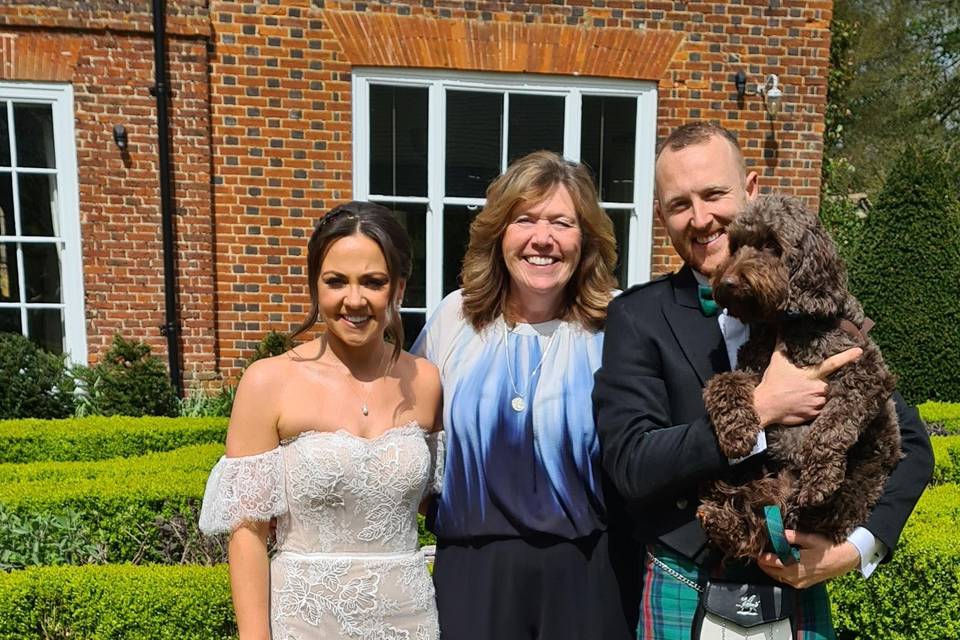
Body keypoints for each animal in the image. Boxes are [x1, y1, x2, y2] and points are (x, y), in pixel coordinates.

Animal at [696, 194, 900, 560]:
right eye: (735, 245)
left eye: (771, 245)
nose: (727, 283)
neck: (789, 323)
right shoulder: (756, 372)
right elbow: (723, 383)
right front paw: (736, 431)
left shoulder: (865, 374)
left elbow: (832, 425)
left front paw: (820, 476)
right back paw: (721, 516)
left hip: (843, 495)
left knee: (777, 518)